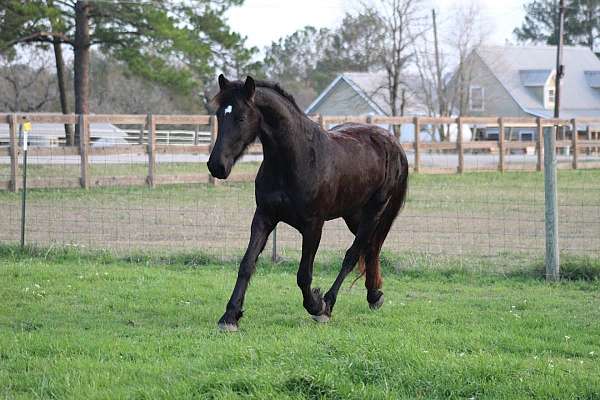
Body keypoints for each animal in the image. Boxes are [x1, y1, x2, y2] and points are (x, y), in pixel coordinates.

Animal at [206, 75, 408, 332]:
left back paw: (329, 303)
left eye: (241, 117)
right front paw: (230, 316)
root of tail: (392, 142)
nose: (216, 166)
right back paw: (374, 295)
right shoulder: (264, 217)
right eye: (220, 115)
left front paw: (316, 305)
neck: (297, 158)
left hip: (374, 212)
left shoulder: (313, 226)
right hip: (353, 215)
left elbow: (304, 275)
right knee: (371, 248)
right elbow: (247, 264)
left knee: (353, 254)